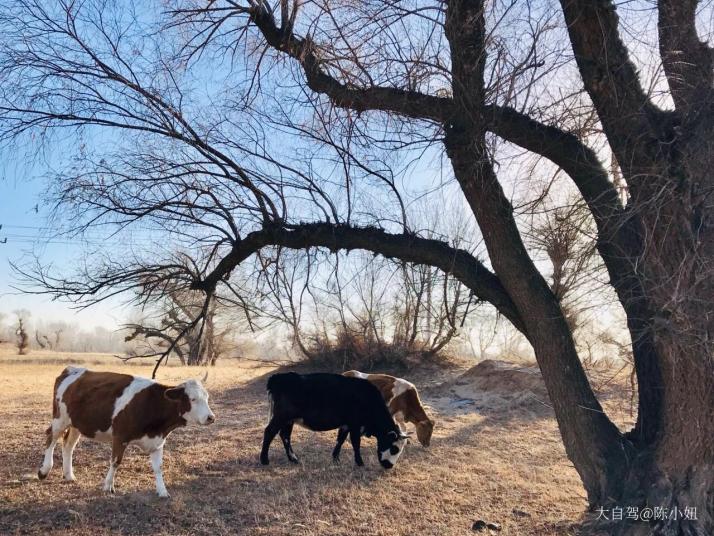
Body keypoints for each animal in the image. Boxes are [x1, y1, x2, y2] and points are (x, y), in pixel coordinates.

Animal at [37, 364, 214, 498]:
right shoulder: (120, 436)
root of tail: (72, 369)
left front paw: (162, 491)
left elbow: (158, 467)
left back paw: (69, 475)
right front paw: (108, 486)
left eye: (207, 397)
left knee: (68, 445)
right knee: (51, 438)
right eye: (193, 399)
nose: (210, 417)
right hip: (60, 418)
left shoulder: (157, 442)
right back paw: (44, 470)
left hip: (76, 424)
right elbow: (115, 461)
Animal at [260, 372, 406, 468]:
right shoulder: (354, 424)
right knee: (269, 432)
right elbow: (355, 443)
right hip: (281, 416)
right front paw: (360, 462)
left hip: (288, 420)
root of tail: (277, 378)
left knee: (285, 436)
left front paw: (335, 458)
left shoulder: (345, 424)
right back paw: (264, 460)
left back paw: (293, 459)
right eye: (394, 449)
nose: (389, 466)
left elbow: (340, 439)